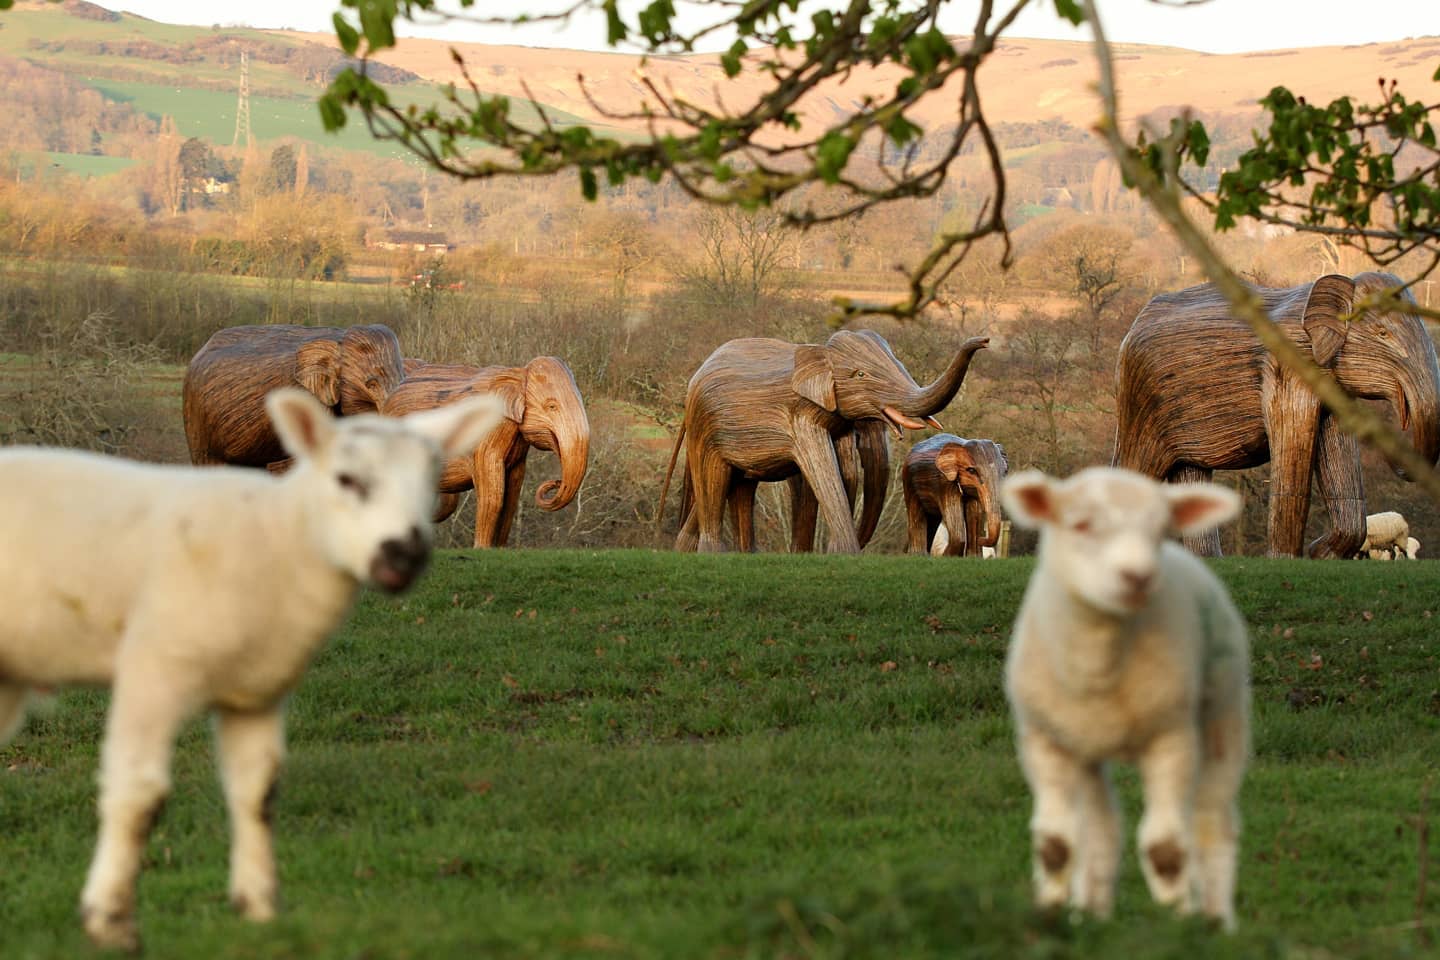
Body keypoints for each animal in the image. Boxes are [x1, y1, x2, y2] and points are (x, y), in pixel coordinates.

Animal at [0, 385, 506, 949]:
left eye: (429, 481)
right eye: (346, 479)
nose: (404, 556)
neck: (279, 538)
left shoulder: (258, 691)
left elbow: (259, 794)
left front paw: (259, 907)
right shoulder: (153, 669)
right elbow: (138, 794)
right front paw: (109, 918)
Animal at [1002, 466, 1249, 932]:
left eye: (1162, 530)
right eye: (1080, 524)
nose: (1138, 577)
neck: (1098, 665)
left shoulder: (1171, 738)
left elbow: (1166, 849)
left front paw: (1178, 925)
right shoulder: (1046, 741)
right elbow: (1056, 845)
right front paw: (1048, 918)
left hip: (1223, 714)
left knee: (1211, 822)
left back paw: (1215, 923)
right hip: (1085, 747)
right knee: (1101, 829)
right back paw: (1092, 914)